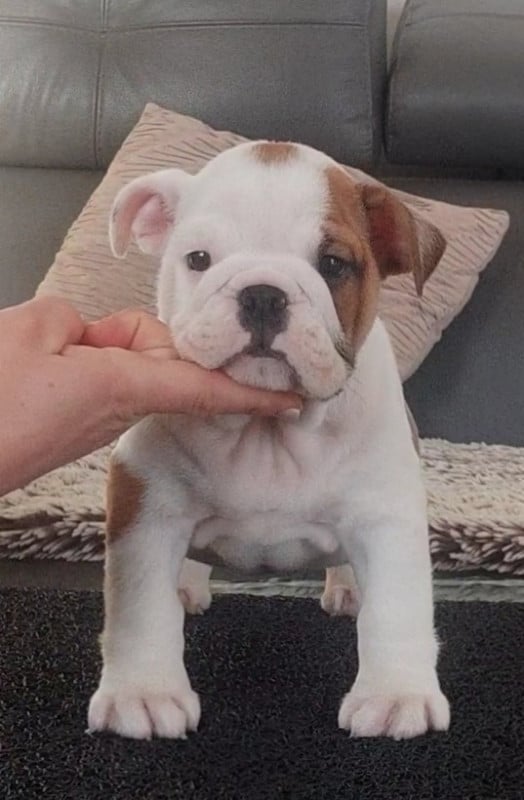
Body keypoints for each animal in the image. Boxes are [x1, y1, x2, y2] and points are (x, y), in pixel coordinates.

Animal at [88, 141, 450, 741]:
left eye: (332, 265)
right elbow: (141, 607)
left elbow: (397, 607)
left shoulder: (386, 515)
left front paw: (396, 694)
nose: (261, 293)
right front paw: (144, 692)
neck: (267, 430)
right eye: (198, 259)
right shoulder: (146, 508)